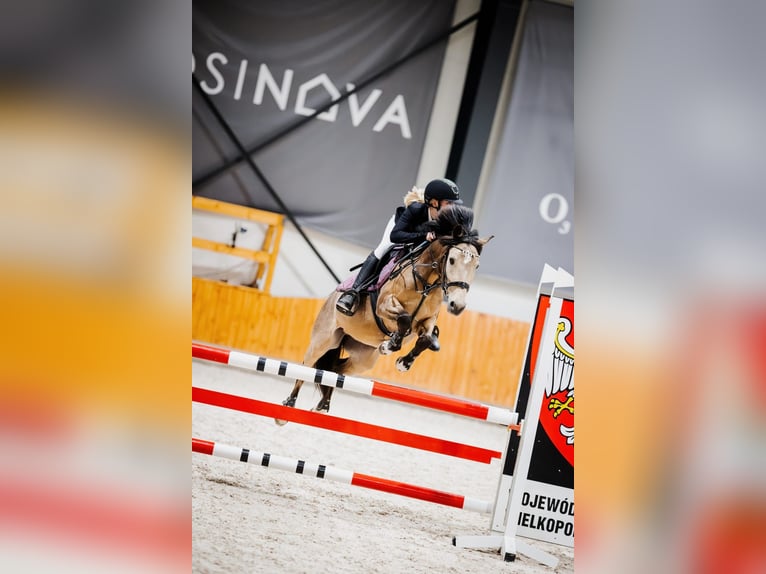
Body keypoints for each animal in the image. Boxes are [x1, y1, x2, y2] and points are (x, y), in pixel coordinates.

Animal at [278, 204, 491, 419]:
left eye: (477, 265)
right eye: (452, 260)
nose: (457, 305)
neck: (426, 281)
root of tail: (330, 298)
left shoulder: (427, 320)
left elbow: (425, 338)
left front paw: (404, 362)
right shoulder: (384, 306)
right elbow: (404, 318)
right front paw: (390, 345)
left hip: (364, 358)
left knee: (335, 370)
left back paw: (322, 405)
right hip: (324, 340)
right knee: (306, 366)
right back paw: (288, 406)